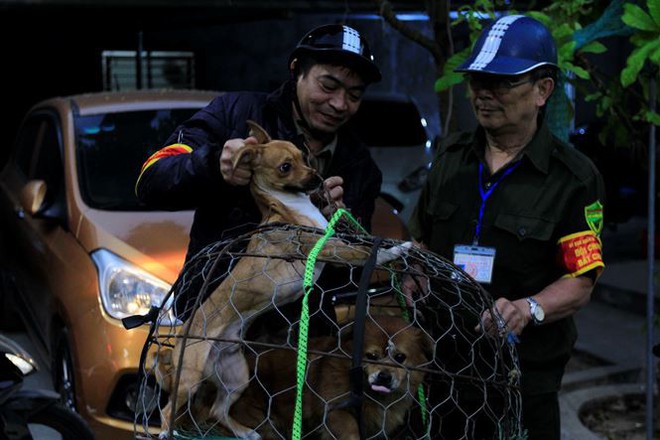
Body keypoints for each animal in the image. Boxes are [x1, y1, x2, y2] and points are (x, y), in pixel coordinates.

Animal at [157, 121, 410, 440]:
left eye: (304, 155)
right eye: (285, 167)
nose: (318, 177)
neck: (291, 208)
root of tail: (180, 338)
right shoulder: (330, 248)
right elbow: (364, 254)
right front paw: (394, 251)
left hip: (236, 376)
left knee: (218, 409)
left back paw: (245, 432)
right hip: (190, 379)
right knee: (168, 410)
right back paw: (167, 432)